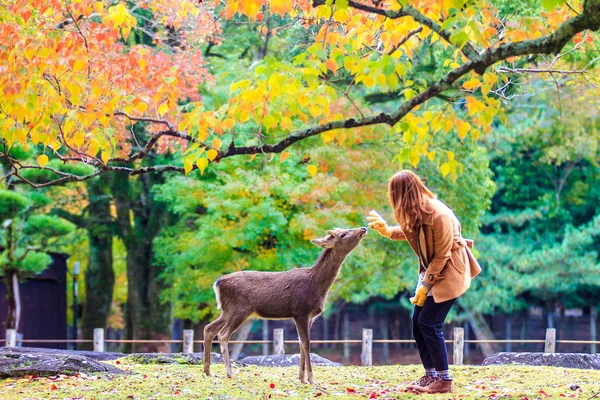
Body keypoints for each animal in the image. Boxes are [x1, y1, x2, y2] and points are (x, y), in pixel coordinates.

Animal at [204, 227, 368, 382]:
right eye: (342, 234)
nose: (363, 228)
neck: (317, 285)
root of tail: (217, 283)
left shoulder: (311, 316)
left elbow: (301, 343)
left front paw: (302, 378)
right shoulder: (300, 311)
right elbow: (306, 343)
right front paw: (311, 379)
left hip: (227, 311)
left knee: (209, 328)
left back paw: (207, 371)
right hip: (239, 310)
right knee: (223, 334)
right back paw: (229, 372)